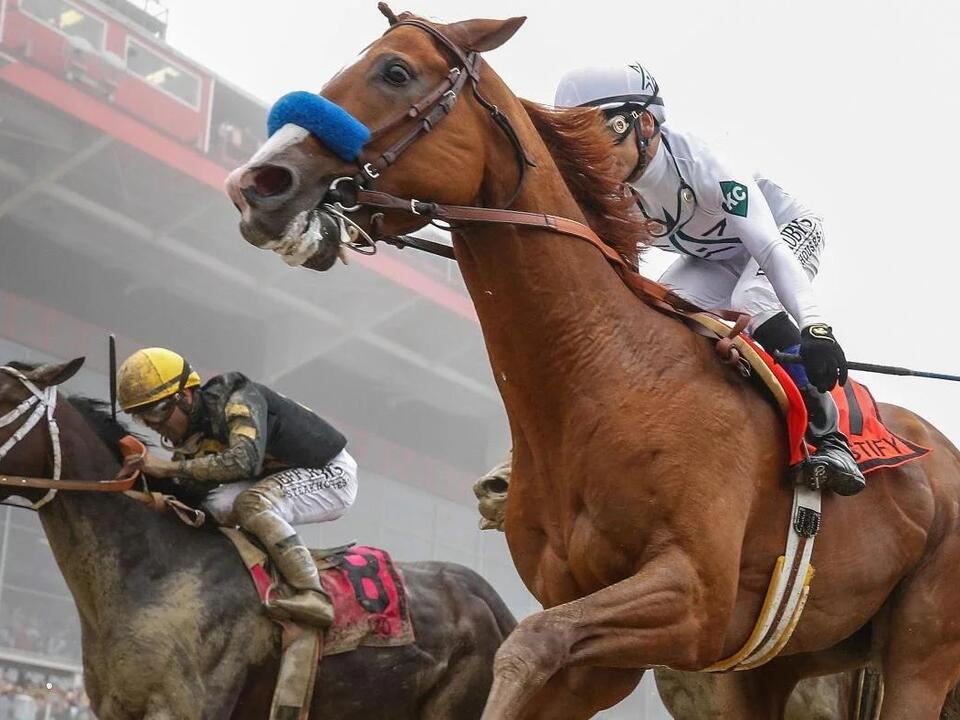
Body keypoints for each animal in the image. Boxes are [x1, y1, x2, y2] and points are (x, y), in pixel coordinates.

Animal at [223, 8, 960, 719]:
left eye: (395, 72)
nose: (257, 183)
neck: (604, 375)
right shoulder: (600, 640)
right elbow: (539, 651)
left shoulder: (691, 597)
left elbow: (525, 646)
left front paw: (822, 350)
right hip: (776, 664)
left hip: (918, 652)